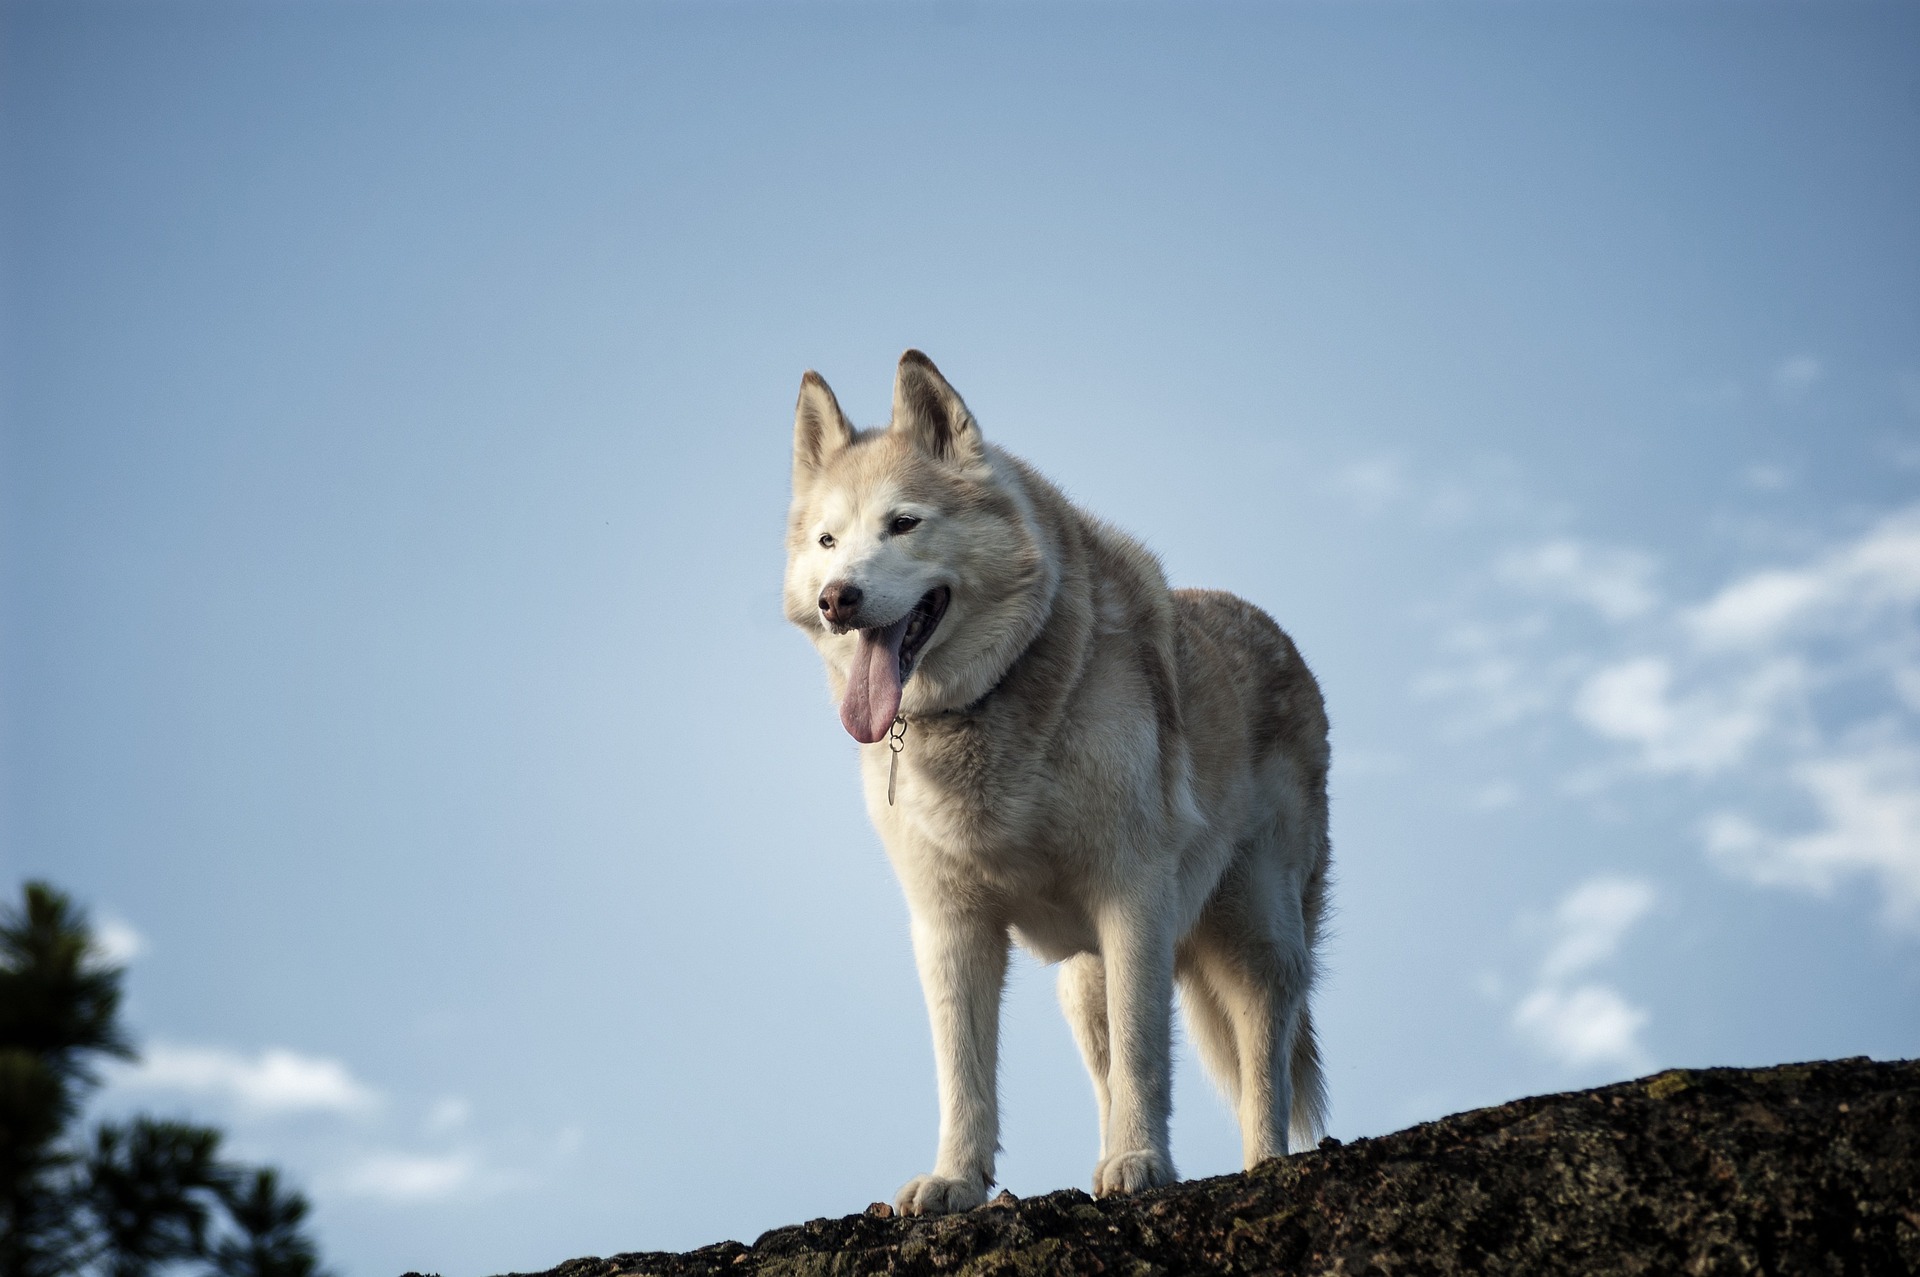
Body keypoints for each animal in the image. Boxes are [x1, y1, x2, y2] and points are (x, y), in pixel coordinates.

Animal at [779, 351, 1336, 1213]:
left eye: (903, 523)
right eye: (828, 539)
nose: (839, 598)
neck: (987, 705)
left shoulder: (1132, 894)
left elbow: (1147, 1055)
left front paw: (1142, 1161)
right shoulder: (950, 925)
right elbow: (964, 1074)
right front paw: (955, 1180)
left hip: (1258, 934)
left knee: (1262, 1065)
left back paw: (1263, 1166)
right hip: (1084, 980)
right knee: (1110, 1069)